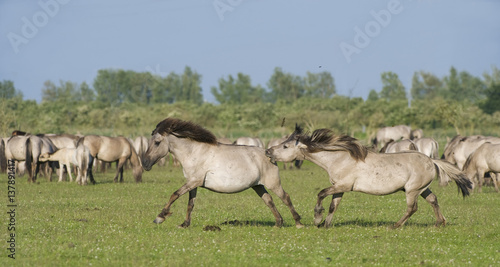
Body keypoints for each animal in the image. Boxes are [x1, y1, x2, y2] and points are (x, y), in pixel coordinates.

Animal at [143, 118, 302, 229]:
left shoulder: (194, 181)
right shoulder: (192, 183)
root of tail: (269, 154)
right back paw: (278, 223)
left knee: (285, 198)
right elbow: (190, 204)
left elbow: (174, 194)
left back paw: (298, 222)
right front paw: (184, 224)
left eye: (157, 142)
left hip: (273, 183)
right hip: (258, 186)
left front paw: (160, 217)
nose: (145, 163)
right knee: (269, 200)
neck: (194, 152)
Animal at [266, 125, 472, 228]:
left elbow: (321, 194)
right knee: (433, 200)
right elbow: (333, 206)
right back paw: (439, 222)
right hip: (421, 189)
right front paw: (325, 224)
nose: (268, 151)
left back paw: (395, 226)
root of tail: (431, 160)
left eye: (285, 146)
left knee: (412, 208)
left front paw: (317, 218)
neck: (339, 158)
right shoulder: (339, 188)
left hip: (412, 191)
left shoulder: (342, 186)